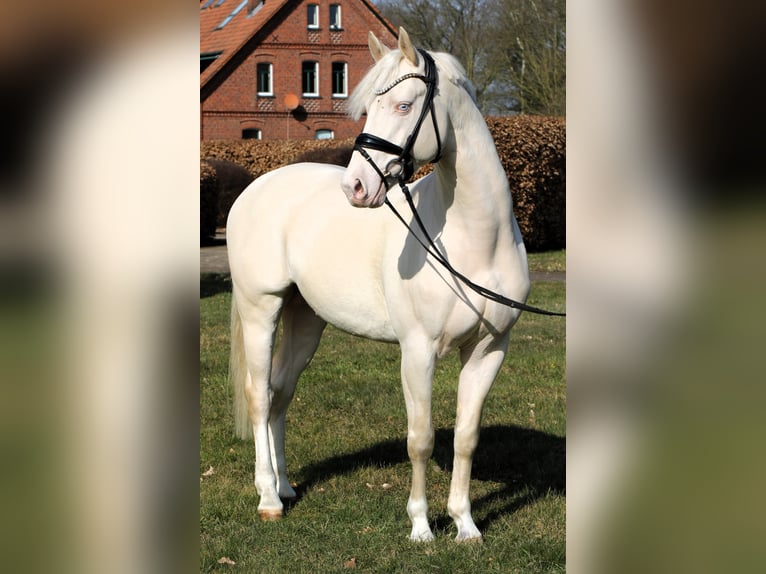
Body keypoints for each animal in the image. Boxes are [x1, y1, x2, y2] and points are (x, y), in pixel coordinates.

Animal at [225, 28, 532, 544]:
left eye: (405, 105)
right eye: (370, 106)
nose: (356, 187)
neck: (475, 243)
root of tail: (255, 188)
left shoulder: (489, 350)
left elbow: (466, 438)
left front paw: (466, 525)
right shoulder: (418, 351)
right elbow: (421, 439)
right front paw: (422, 528)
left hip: (306, 319)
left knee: (281, 391)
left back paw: (286, 487)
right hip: (260, 309)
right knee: (259, 396)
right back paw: (268, 498)